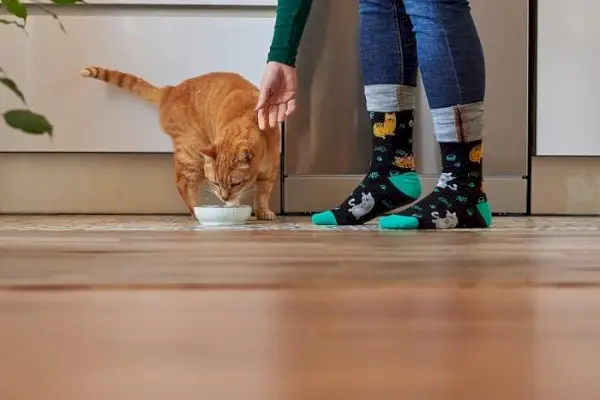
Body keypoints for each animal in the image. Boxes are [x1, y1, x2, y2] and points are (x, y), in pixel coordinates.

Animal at [79, 67, 282, 220]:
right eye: (215, 183)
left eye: (235, 183)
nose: (224, 196)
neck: (249, 120)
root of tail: (171, 90)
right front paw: (232, 205)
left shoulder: (270, 170)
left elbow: (262, 193)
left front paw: (263, 211)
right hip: (191, 153)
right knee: (183, 184)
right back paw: (196, 211)